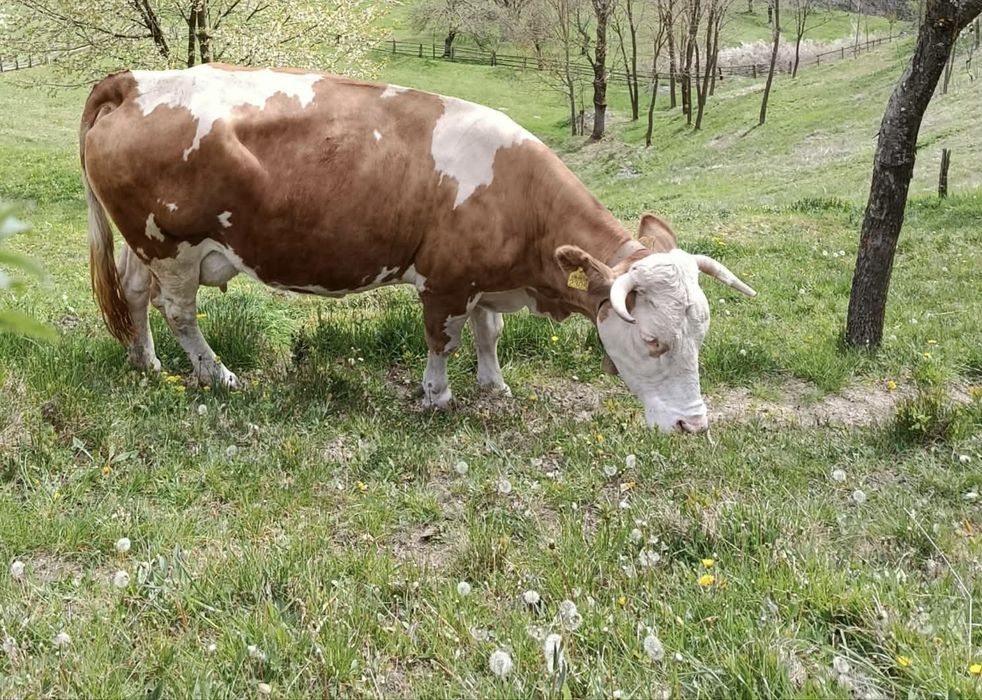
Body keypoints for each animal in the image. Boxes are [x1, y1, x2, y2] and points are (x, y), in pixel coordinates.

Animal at [80, 63, 756, 433]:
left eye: (702, 335)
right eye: (653, 340)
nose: (693, 425)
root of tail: (135, 80)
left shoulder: (482, 278)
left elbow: (488, 333)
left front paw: (494, 385)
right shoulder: (445, 279)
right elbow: (443, 339)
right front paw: (438, 396)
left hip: (146, 244)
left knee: (135, 297)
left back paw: (147, 363)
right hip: (173, 246)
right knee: (179, 312)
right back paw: (218, 374)